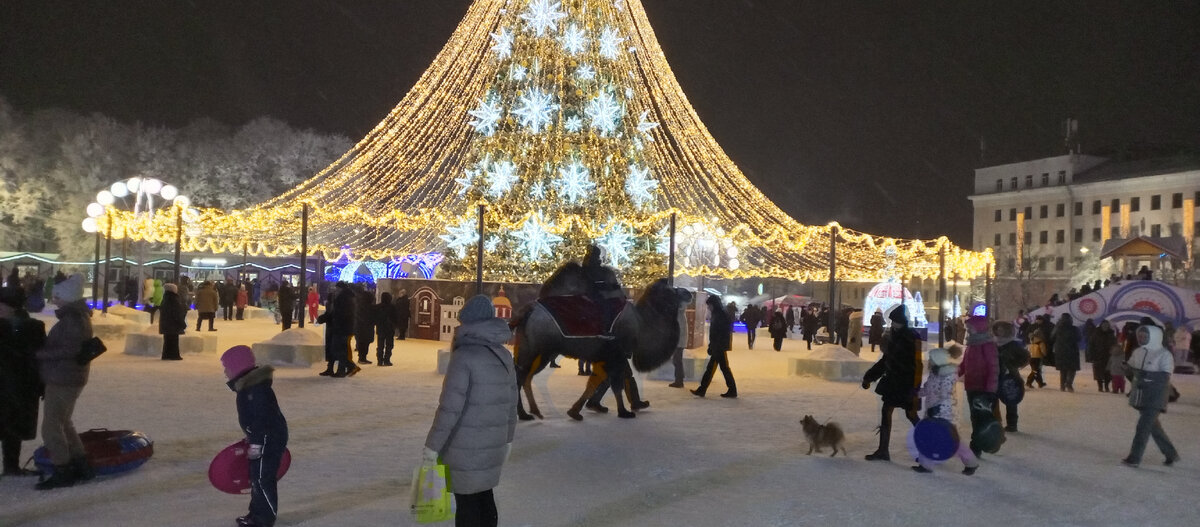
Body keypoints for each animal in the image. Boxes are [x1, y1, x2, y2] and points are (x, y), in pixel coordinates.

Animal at [513, 267, 691, 420]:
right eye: (672, 289)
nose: (688, 293)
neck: (640, 323)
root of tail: (527, 311)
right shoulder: (616, 354)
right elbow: (616, 384)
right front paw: (624, 412)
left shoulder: (608, 357)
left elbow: (598, 382)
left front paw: (578, 411)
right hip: (539, 351)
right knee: (520, 377)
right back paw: (525, 414)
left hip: (532, 349)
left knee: (524, 377)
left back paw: (532, 412)